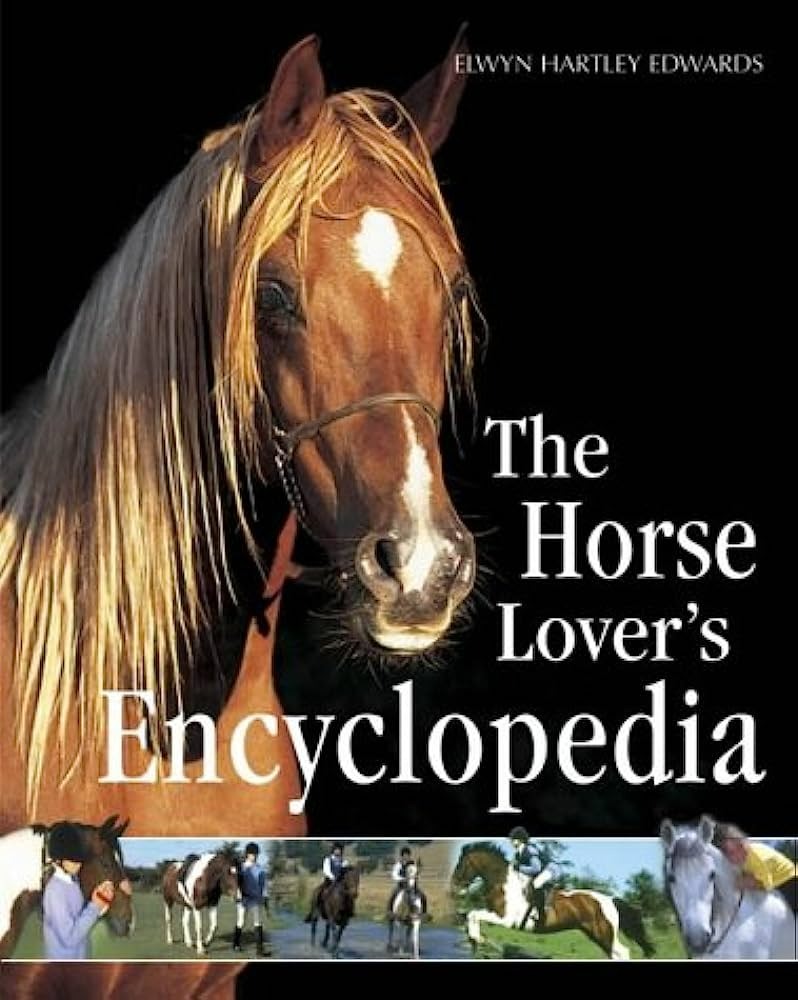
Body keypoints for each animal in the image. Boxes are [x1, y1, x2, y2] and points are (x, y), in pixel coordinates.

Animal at [450, 843, 655, 960]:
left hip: (603, 933)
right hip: (595, 934)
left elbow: (474, 914)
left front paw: (476, 937)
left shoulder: (506, 919)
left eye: (461, 865)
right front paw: (474, 938)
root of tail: (611, 899)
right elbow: (471, 914)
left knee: (622, 952)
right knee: (615, 954)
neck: (503, 883)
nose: (454, 887)